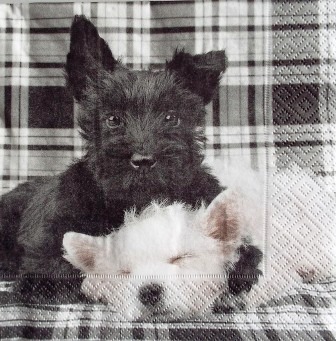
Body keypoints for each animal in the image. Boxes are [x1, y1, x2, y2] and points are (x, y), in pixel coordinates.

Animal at [0, 15, 262, 298]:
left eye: (171, 117)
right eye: (112, 118)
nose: (143, 161)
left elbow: (240, 251)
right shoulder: (55, 224)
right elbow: (54, 254)